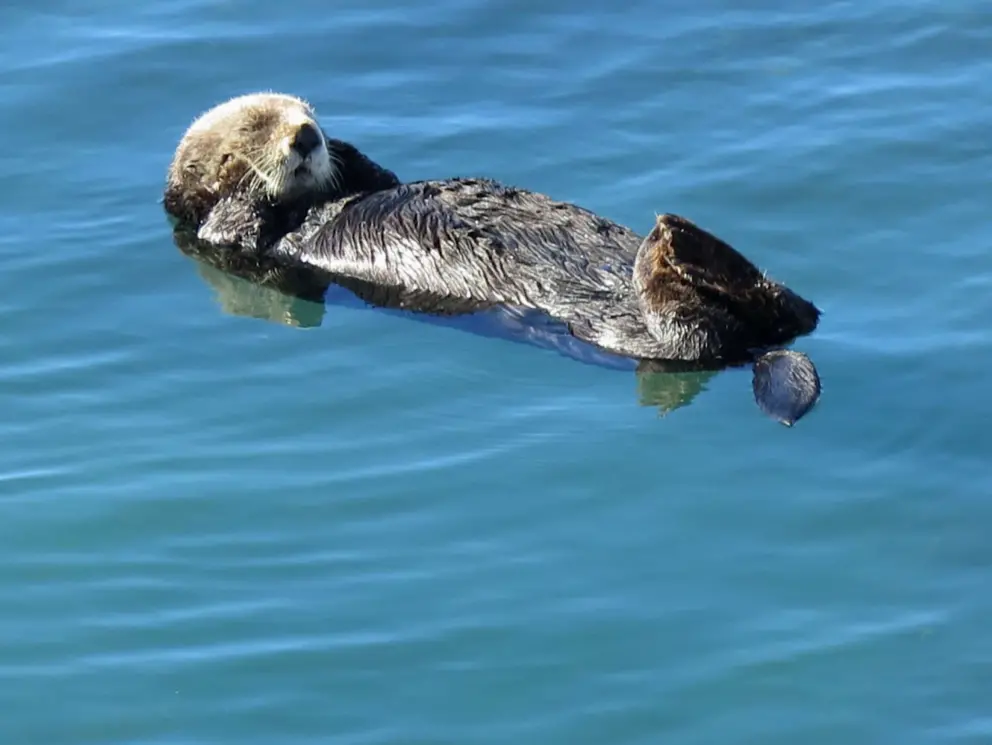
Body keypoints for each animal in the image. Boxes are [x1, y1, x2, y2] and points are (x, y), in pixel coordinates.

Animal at [165, 92, 822, 426]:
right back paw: (675, 248)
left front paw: (347, 147)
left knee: (797, 310)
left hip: (760, 317)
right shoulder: (240, 250)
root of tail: (753, 348)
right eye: (255, 125)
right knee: (694, 336)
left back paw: (689, 241)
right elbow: (236, 220)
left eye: (307, 114)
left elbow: (383, 177)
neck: (317, 203)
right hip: (638, 339)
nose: (306, 134)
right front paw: (252, 179)